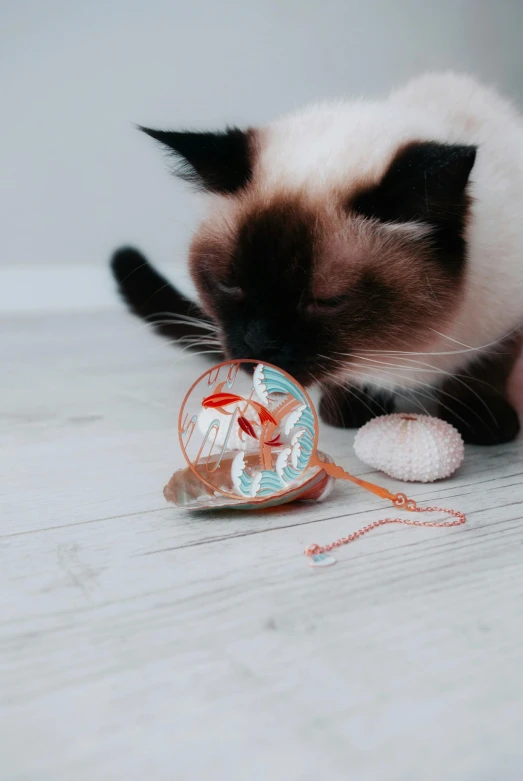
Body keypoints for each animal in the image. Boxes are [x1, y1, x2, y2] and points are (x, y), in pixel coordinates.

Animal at [111, 73, 523, 444]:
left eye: (326, 301)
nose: (258, 344)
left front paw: (480, 420)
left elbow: (486, 364)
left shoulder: (507, 322)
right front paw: (349, 408)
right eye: (229, 285)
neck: (394, 352)